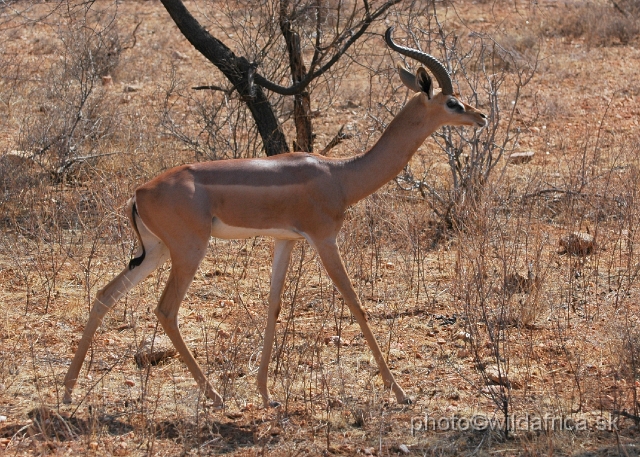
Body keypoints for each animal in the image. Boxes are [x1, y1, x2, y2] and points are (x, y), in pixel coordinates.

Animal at [62, 27, 488, 406]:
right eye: (453, 103)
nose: (481, 116)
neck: (340, 175)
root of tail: (139, 193)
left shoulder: (285, 240)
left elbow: (274, 305)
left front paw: (267, 394)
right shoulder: (323, 238)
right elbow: (356, 303)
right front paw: (400, 392)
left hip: (155, 252)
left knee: (105, 295)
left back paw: (67, 391)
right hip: (188, 251)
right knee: (166, 310)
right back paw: (215, 396)